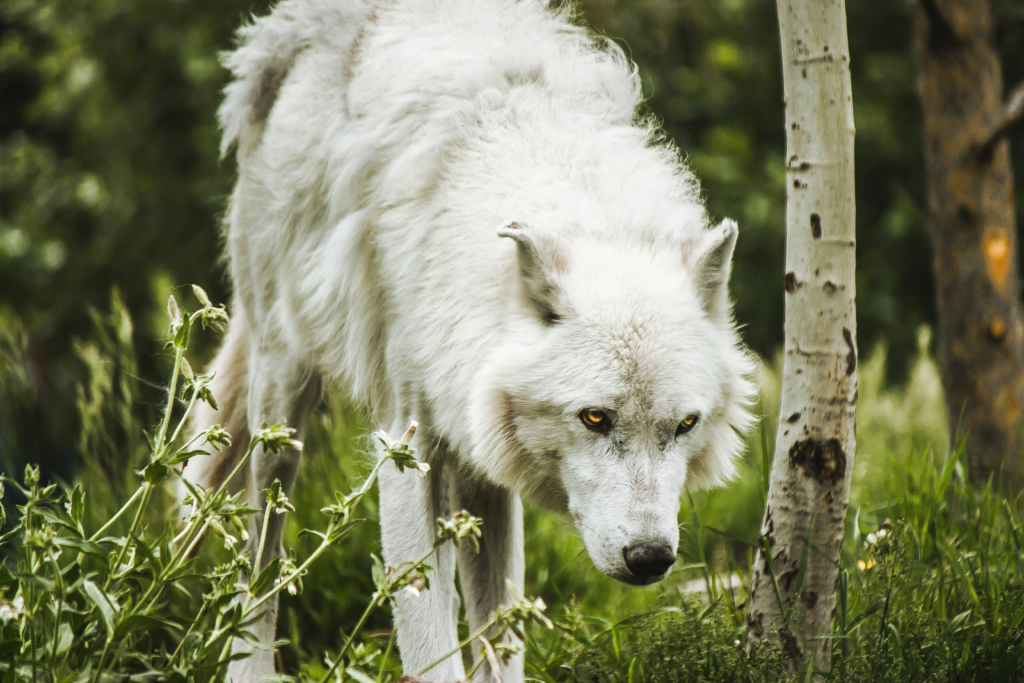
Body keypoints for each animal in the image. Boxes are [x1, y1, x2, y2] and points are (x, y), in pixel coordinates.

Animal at [184, 0, 757, 679]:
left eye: (685, 425)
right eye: (594, 418)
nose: (651, 559)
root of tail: (278, 31)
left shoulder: (482, 462)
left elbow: (500, 639)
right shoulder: (406, 454)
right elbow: (431, 645)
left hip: (473, 465)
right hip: (282, 404)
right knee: (260, 548)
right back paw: (248, 662)